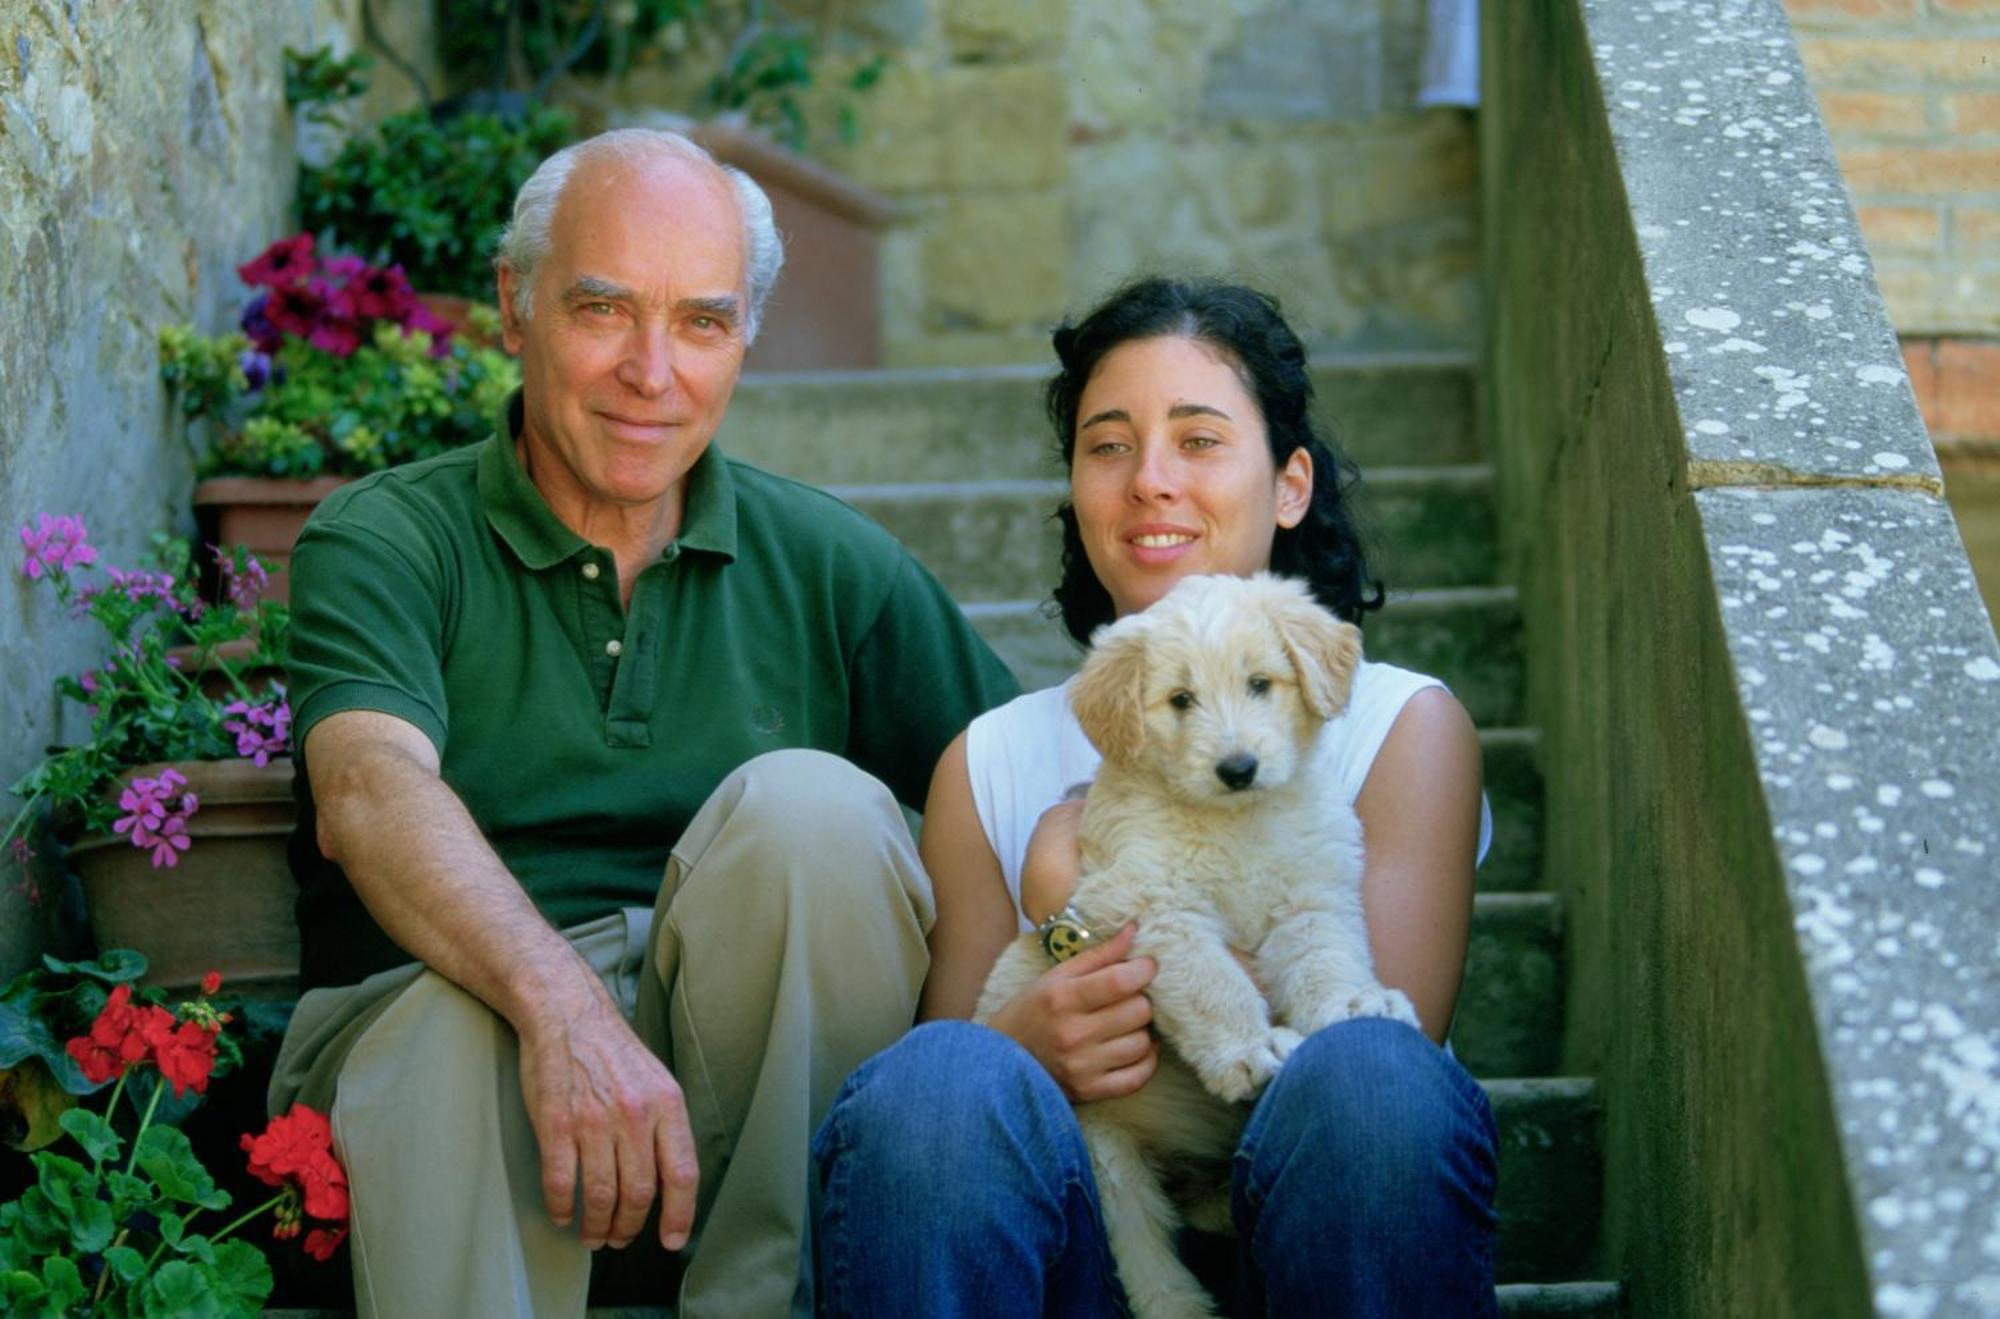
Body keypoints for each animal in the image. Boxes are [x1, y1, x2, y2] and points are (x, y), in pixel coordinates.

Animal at [976, 571, 1416, 1311]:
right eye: (1181, 699)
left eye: (1261, 683)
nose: (1238, 767)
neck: (1234, 822)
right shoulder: (1153, 907)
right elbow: (1214, 982)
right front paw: (1248, 1048)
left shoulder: (1311, 893)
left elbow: (1325, 955)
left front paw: (1354, 1002)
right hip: (1106, 1156)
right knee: (1146, 1254)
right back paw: (1183, 1305)